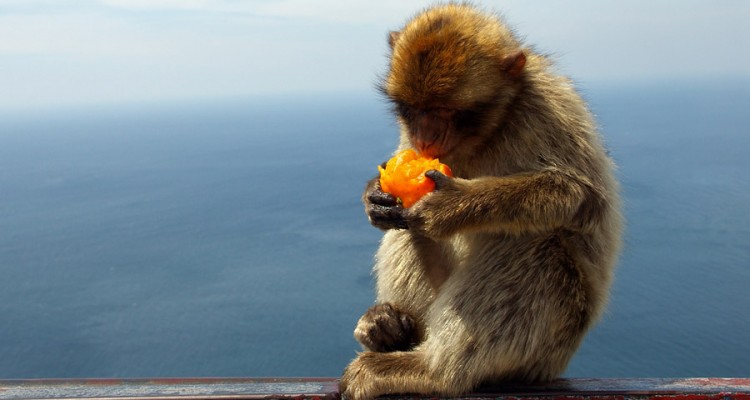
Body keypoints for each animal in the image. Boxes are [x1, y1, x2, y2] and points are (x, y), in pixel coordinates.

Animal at [339, 4, 623, 400]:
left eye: (446, 111)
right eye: (413, 109)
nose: (425, 137)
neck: (490, 130)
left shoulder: (547, 109)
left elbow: (578, 195)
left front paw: (450, 206)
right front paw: (373, 194)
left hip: (551, 346)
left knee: (536, 247)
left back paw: (433, 372)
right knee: (405, 229)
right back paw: (391, 329)